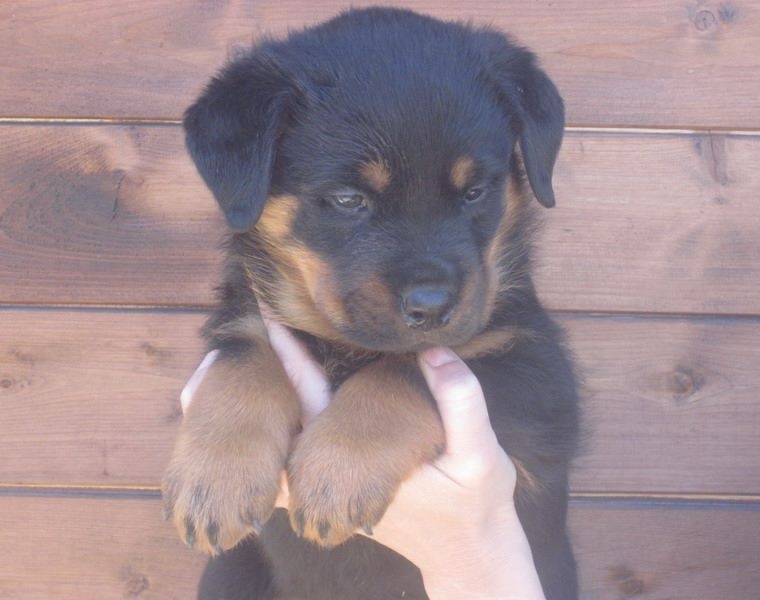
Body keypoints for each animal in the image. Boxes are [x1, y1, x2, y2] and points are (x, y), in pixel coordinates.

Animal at [163, 7, 580, 600]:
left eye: (475, 192)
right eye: (348, 199)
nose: (431, 306)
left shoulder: (537, 371)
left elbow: (402, 371)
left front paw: (336, 472)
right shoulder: (246, 314)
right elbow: (244, 358)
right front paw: (216, 477)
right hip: (229, 575)